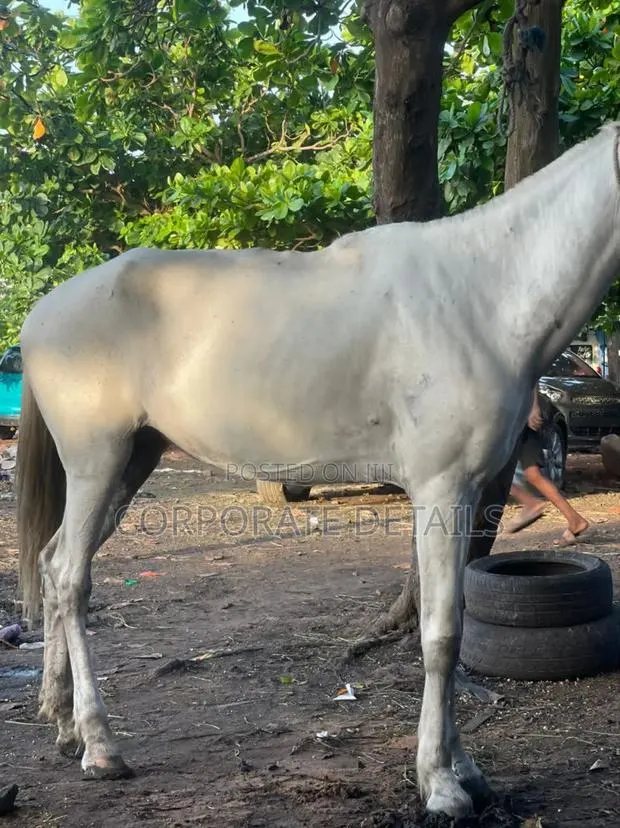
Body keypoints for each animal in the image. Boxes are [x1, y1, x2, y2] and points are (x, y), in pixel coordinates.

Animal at [16, 122, 620, 818]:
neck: (482, 296)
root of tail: (41, 315)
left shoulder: (470, 495)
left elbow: (457, 628)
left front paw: (465, 771)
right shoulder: (443, 491)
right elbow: (440, 635)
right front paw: (440, 785)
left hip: (130, 464)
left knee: (53, 563)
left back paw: (62, 722)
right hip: (97, 461)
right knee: (70, 578)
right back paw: (100, 746)